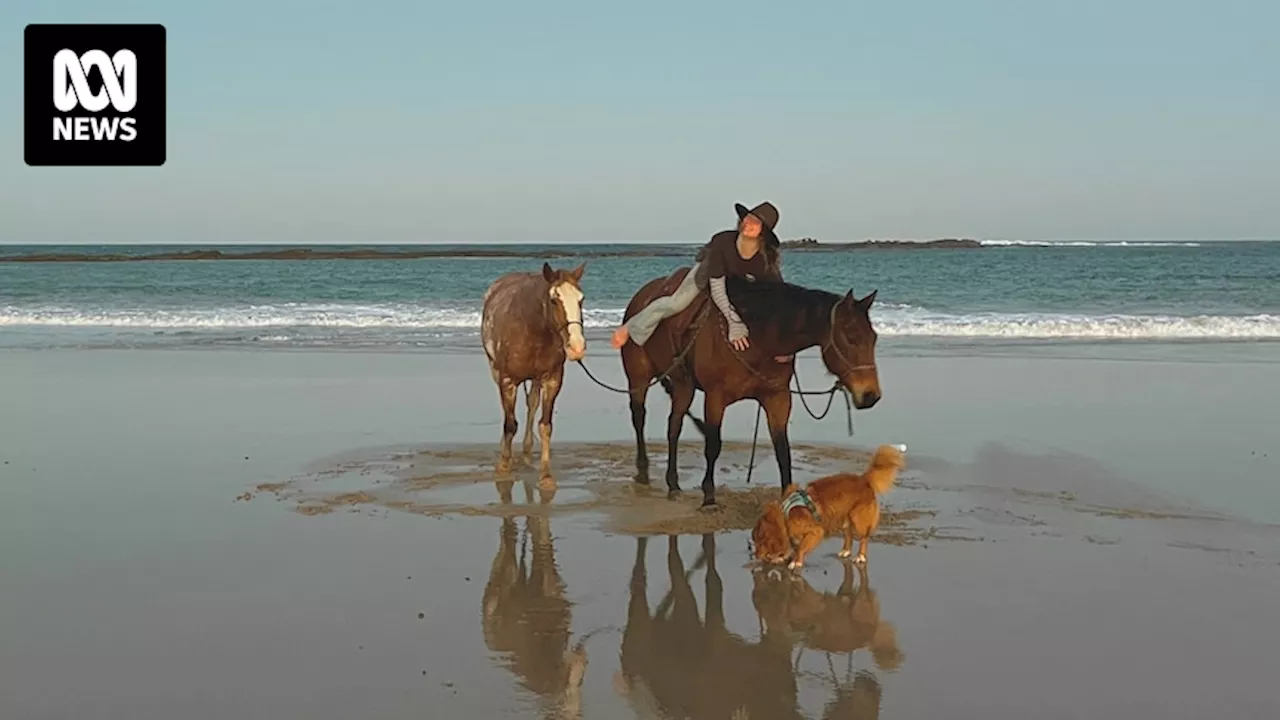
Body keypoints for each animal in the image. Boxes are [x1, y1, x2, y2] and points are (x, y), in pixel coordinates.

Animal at [481, 260, 586, 479]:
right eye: (554, 299)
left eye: (581, 299)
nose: (577, 347)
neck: (532, 329)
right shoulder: (507, 381)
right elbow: (510, 425)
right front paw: (504, 465)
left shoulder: (552, 380)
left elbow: (545, 426)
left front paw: (545, 474)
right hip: (496, 372)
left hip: (537, 380)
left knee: (532, 403)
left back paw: (528, 449)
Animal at [619, 266, 880, 507]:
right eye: (851, 336)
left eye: (874, 338)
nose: (871, 395)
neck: (758, 337)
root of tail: (638, 299)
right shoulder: (715, 398)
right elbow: (713, 445)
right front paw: (709, 498)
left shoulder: (778, 398)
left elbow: (782, 450)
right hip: (639, 379)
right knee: (640, 418)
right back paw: (643, 471)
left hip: (684, 386)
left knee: (674, 426)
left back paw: (673, 484)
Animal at [747, 440, 911, 568]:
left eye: (761, 544)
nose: (755, 556)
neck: (785, 517)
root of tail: (864, 480)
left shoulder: (815, 532)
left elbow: (801, 547)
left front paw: (796, 562)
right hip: (844, 518)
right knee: (848, 535)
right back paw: (846, 551)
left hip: (858, 518)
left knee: (863, 538)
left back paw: (860, 556)